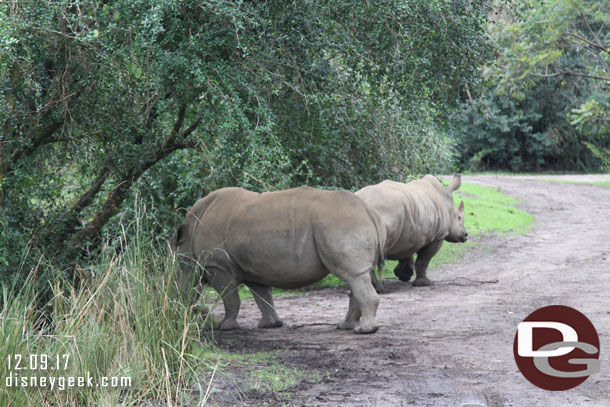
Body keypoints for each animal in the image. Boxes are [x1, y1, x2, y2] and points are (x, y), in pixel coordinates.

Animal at [170, 186, 384, 334]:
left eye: (174, 276)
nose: (174, 306)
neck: (187, 239)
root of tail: (367, 210)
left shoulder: (216, 265)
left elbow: (230, 297)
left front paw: (225, 327)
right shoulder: (252, 268)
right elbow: (262, 296)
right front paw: (270, 325)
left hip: (340, 223)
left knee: (354, 275)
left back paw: (364, 331)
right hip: (346, 221)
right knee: (358, 277)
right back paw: (346, 326)